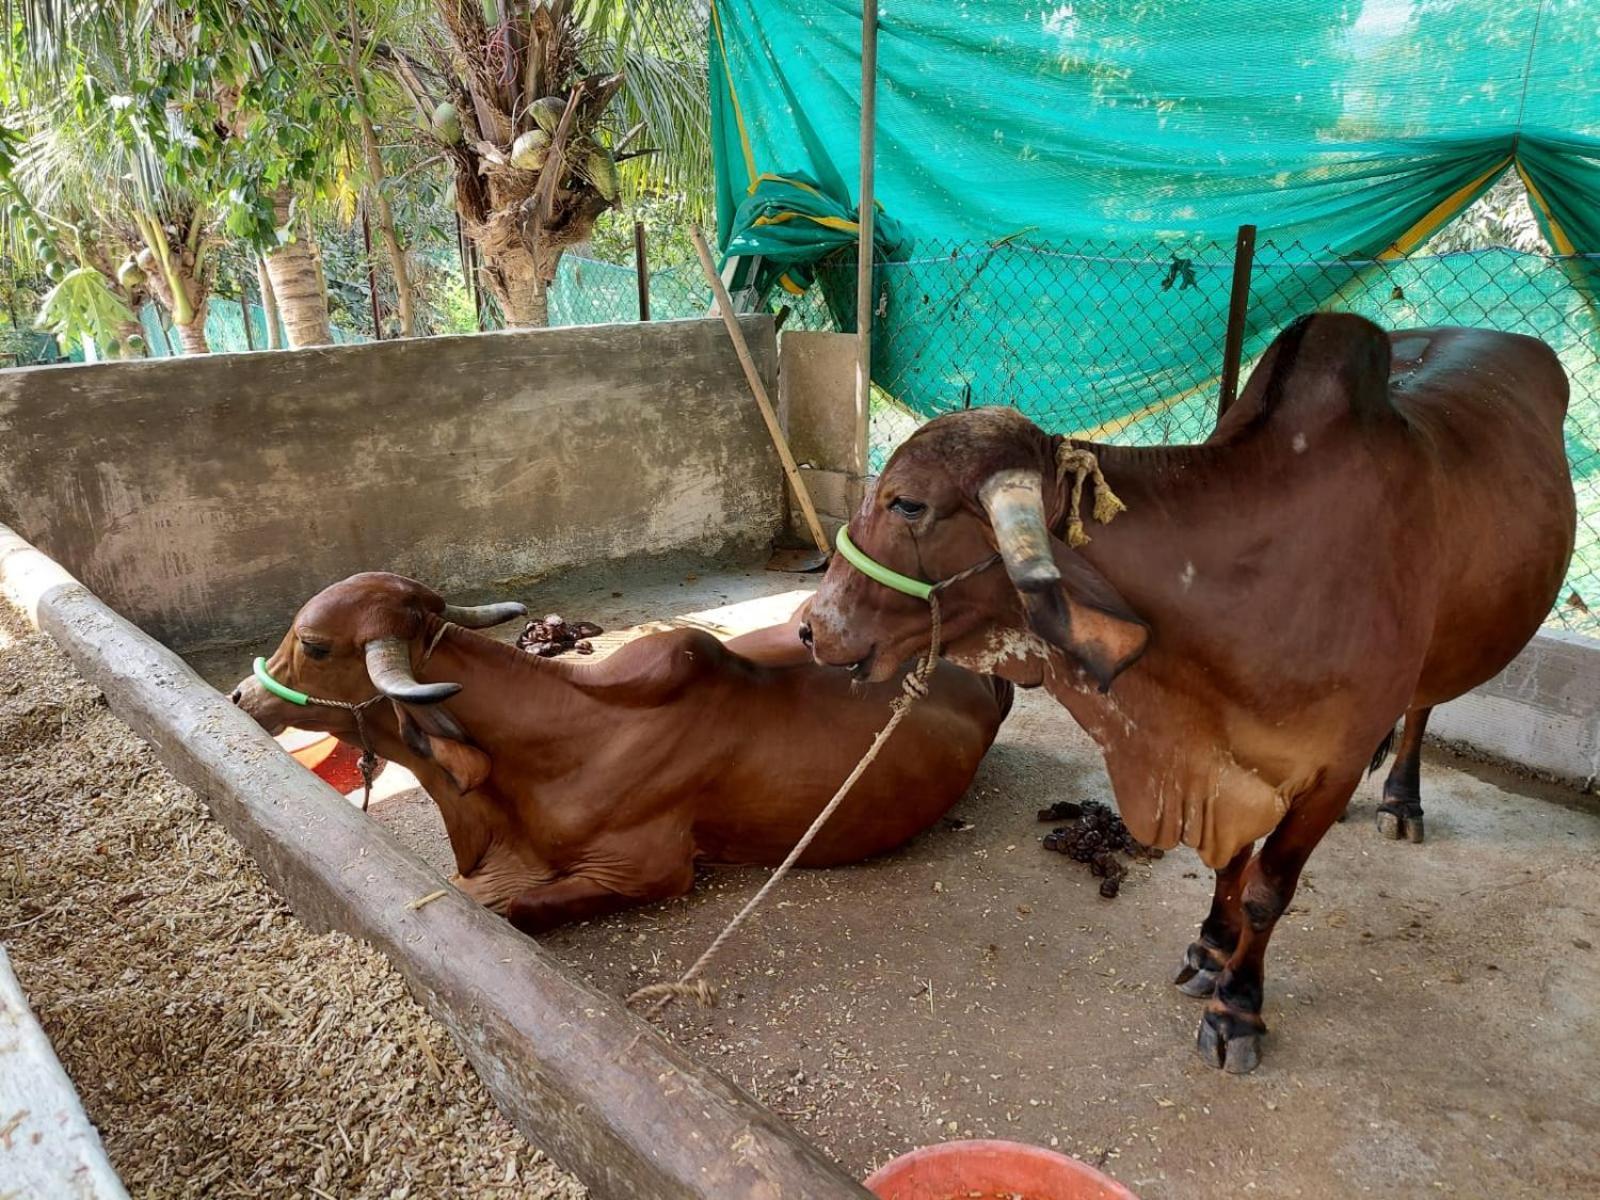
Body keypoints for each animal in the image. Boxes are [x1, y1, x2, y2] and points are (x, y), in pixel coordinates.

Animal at [806, 315, 1568, 1075]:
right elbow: (1231, 862)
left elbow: (1268, 888)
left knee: (1422, 705)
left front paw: (1237, 1007)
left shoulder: (1330, 769)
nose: (813, 626)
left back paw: (1400, 802)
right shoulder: (1228, 761)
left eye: (909, 503)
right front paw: (1210, 946)